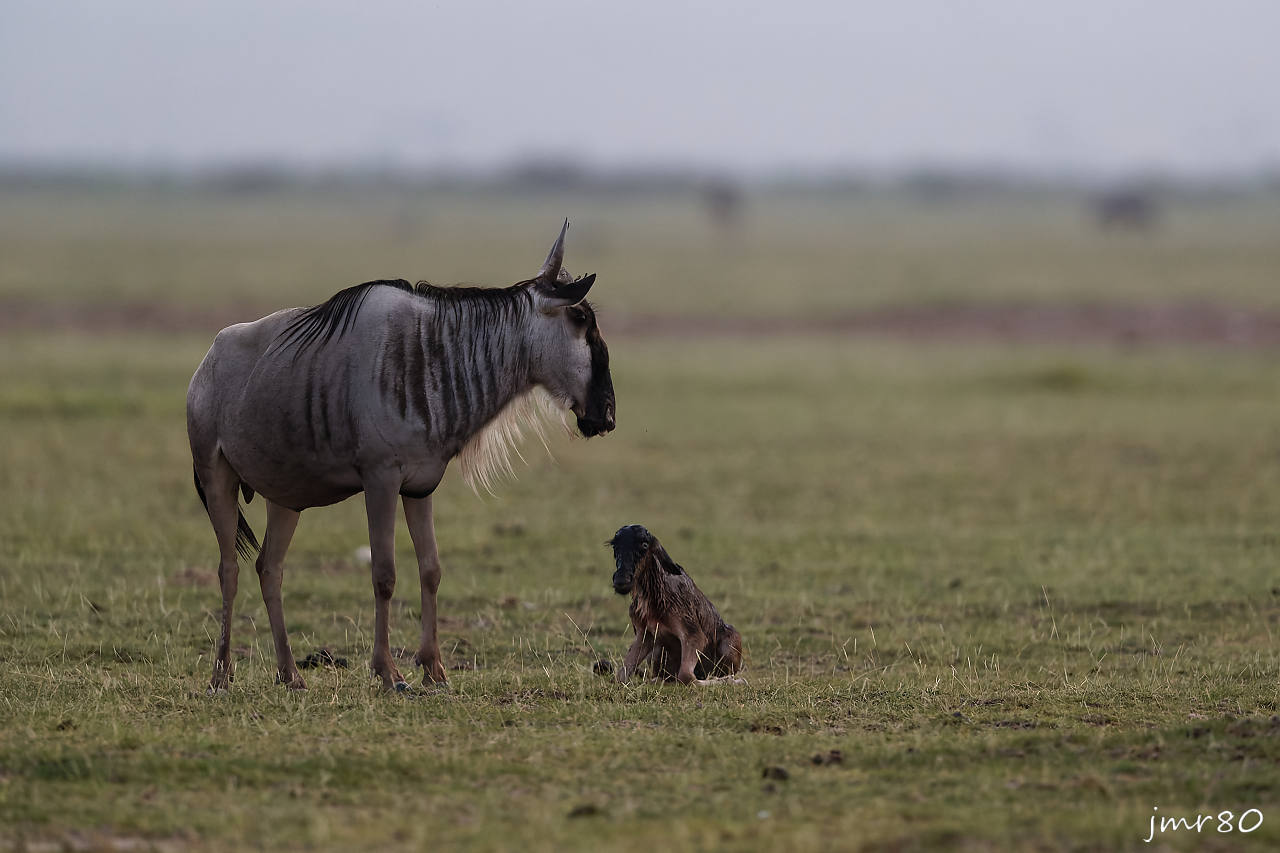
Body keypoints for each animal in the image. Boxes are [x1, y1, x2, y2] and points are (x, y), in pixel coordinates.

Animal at [606, 522, 742, 681]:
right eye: (615, 546)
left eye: (644, 544)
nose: (622, 579)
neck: (654, 598)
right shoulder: (644, 634)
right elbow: (621, 675)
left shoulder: (695, 635)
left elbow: (686, 676)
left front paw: (737, 681)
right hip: (656, 653)